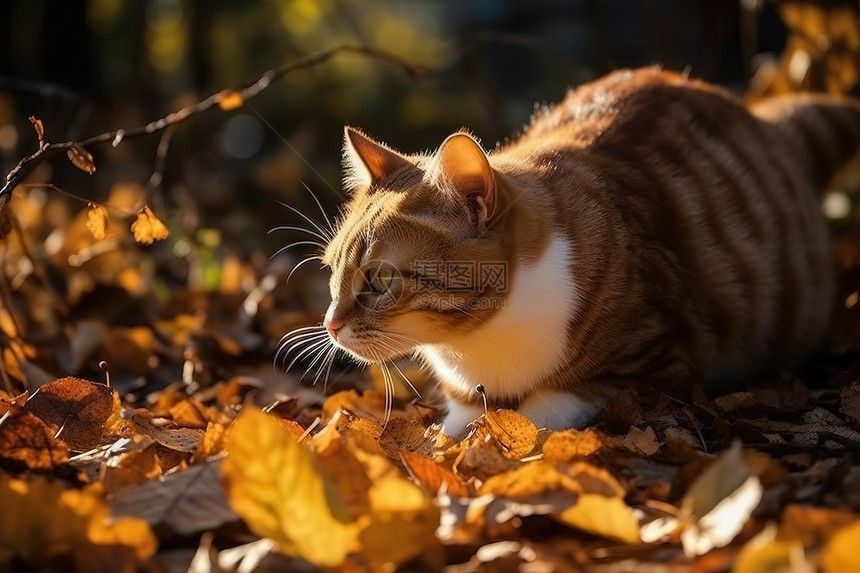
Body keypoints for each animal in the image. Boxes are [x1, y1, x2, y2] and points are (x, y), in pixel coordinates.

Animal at [286, 67, 860, 434]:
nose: (330, 325)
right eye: (332, 274)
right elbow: (459, 422)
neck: (477, 345)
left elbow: (541, 412)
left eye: (381, 280)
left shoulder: (652, 359)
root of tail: (768, 128)